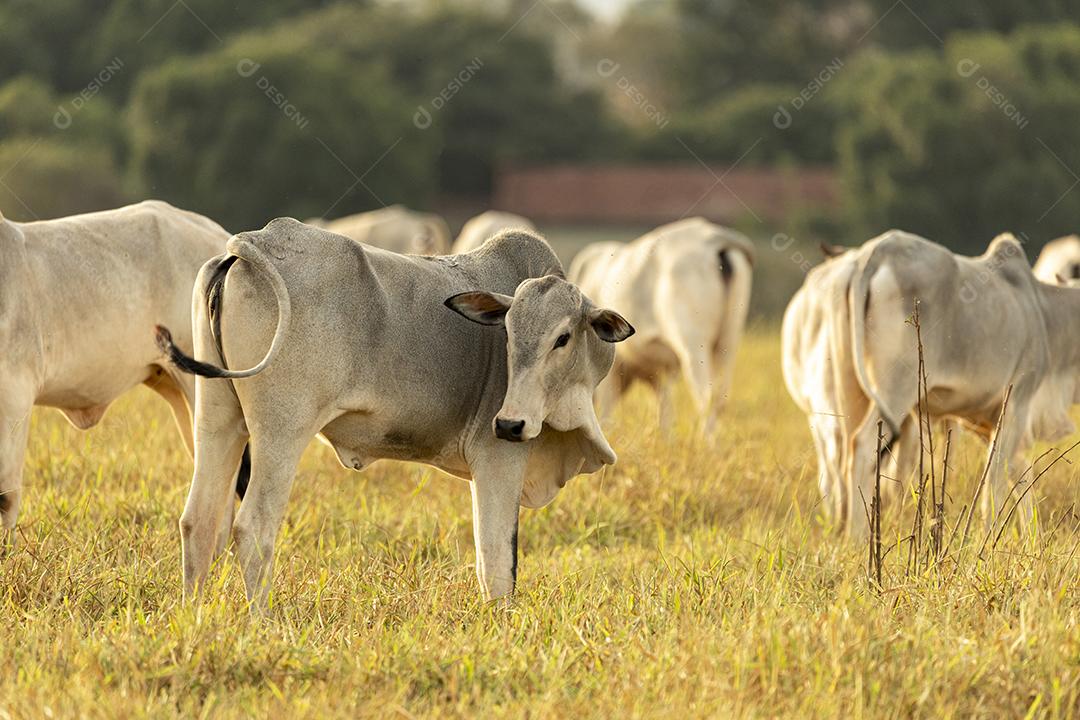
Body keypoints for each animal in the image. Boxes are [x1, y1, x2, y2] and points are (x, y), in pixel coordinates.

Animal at [155, 220, 633, 609]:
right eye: (509, 333)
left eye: (562, 338)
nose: (510, 422)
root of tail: (254, 241)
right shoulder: (499, 457)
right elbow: (498, 566)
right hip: (281, 432)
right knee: (253, 529)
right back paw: (263, 622)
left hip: (218, 420)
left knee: (199, 522)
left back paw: (194, 617)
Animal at [568, 217, 753, 431]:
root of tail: (710, 236)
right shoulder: (663, 371)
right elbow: (664, 410)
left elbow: (607, 412)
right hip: (728, 342)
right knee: (720, 397)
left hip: (693, 345)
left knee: (705, 397)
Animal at [841, 230, 1080, 537]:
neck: (1044, 313)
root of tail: (881, 249)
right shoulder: (1017, 402)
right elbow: (997, 476)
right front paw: (990, 534)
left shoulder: (986, 419)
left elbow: (1020, 474)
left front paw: (1032, 536)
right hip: (896, 390)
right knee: (862, 446)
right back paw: (858, 537)